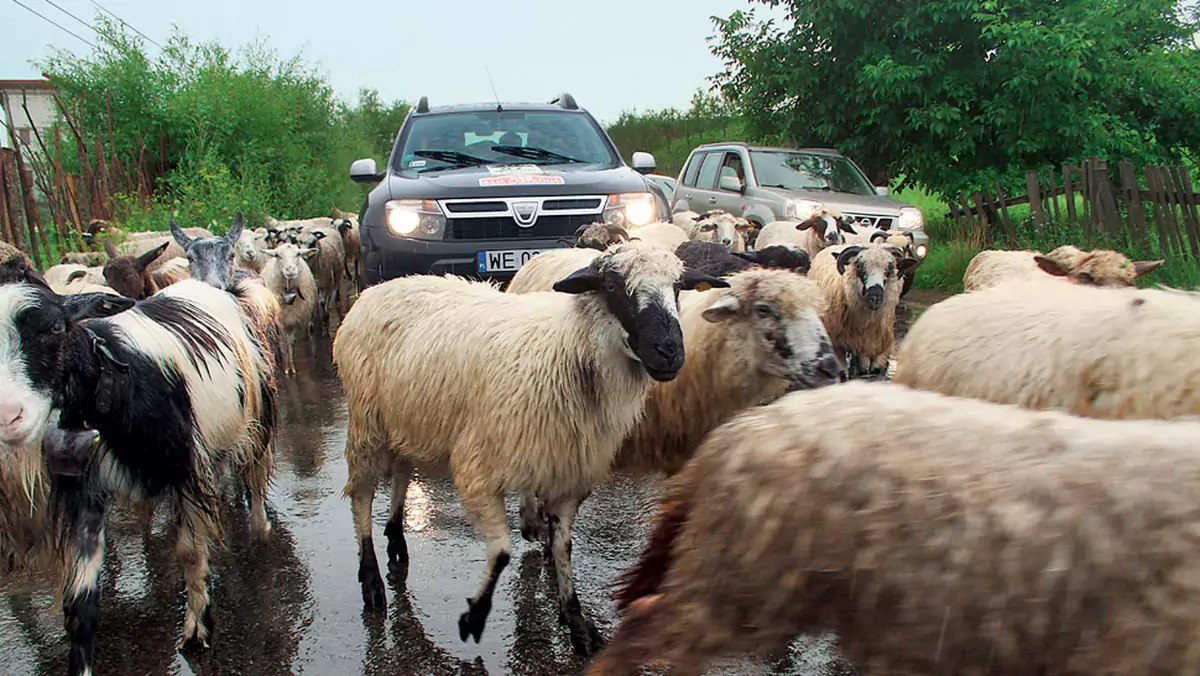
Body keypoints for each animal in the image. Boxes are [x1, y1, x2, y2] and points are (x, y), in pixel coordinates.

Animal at [0, 271, 278, 676]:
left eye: (55, 328)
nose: (9, 417)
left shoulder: (187, 470)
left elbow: (189, 552)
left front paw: (197, 627)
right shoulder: (84, 490)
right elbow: (79, 603)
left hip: (256, 411)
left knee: (255, 471)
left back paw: (258, 527)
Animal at [331, 242, 729, 657]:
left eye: (678, 288)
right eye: (613, 286)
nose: (669, 352)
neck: (569, 354)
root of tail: (376, 291)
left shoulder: (569, 472)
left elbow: (563, 546)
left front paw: (576, 621)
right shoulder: (477, 467)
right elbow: (502, 552)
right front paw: (475, 617)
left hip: (406, 420)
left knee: (402, 473)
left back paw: (396, 539)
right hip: (366, 422)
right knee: (361, 496)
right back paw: (372, 580)